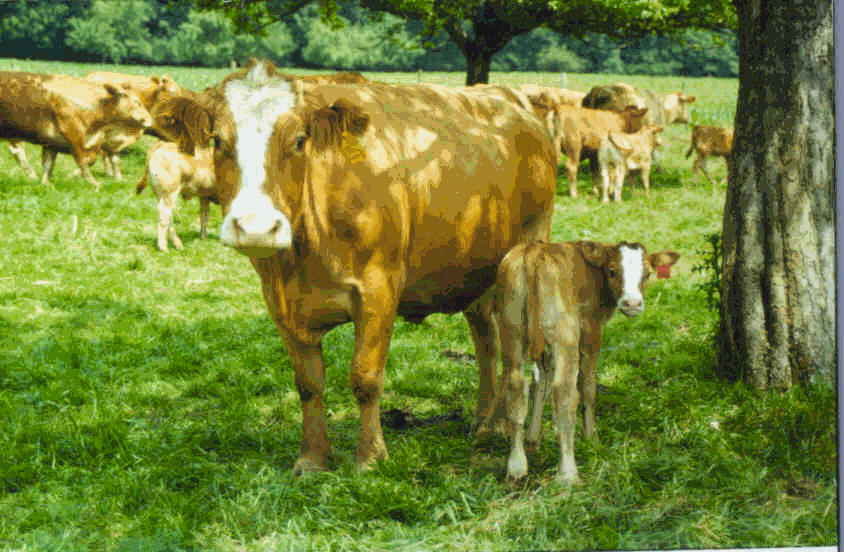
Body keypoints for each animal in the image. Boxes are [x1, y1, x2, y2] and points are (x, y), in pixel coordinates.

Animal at [0, 71, 152, 188]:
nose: (149, 119)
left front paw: (45, 184)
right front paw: (94, 183)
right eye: (137, 102)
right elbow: (83, 161)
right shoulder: (74, 136)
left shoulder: (51, 142)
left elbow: (48, 164)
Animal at [163, 59, 560, 474]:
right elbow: (308, 383)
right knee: (487, 343)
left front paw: (370, 457)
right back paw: (485, 422)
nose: (256, 227)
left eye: (299, 141)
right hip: (475, 275)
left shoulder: (378, 289)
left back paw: (506, 429)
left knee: (518, 354)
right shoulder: (279, 301)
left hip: (523, 262)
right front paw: (312, 458)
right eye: (217, 141)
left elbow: (365, 377)